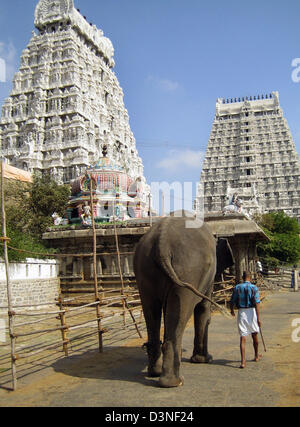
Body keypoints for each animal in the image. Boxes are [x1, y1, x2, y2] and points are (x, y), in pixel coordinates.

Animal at [134, 216, 234, 390]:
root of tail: (161, 240)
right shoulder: (208, 278)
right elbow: (203, 309)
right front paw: (205, 360)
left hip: (145, 269)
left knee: (152, 309)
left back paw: (155, 372)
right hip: (189, 271)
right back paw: (174, 382)